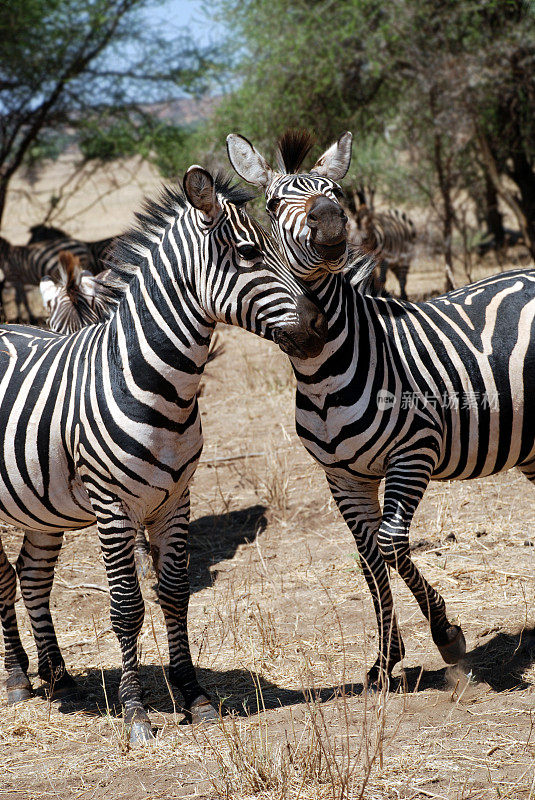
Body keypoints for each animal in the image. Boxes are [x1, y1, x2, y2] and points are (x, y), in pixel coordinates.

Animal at [0, 166, 326, 740]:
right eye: (248, 252)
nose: (318, 325)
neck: (159, 386)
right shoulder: (112, 506)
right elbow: (127, 605)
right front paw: (136, 715)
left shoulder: (177, 498)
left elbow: (174, 593)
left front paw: (194, 697)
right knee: (2, 581)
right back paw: (19, 681)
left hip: (40, 505)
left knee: (33, 577)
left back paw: (60, 681)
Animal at [228, 130, 535, 688]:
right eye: (272, 203)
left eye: (335, 192)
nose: (329, 219)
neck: (324, 371)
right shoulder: (342, 477)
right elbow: (369, 558)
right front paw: (385, 660)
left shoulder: (414, 453)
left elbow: (391, 546)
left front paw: (447, 636)